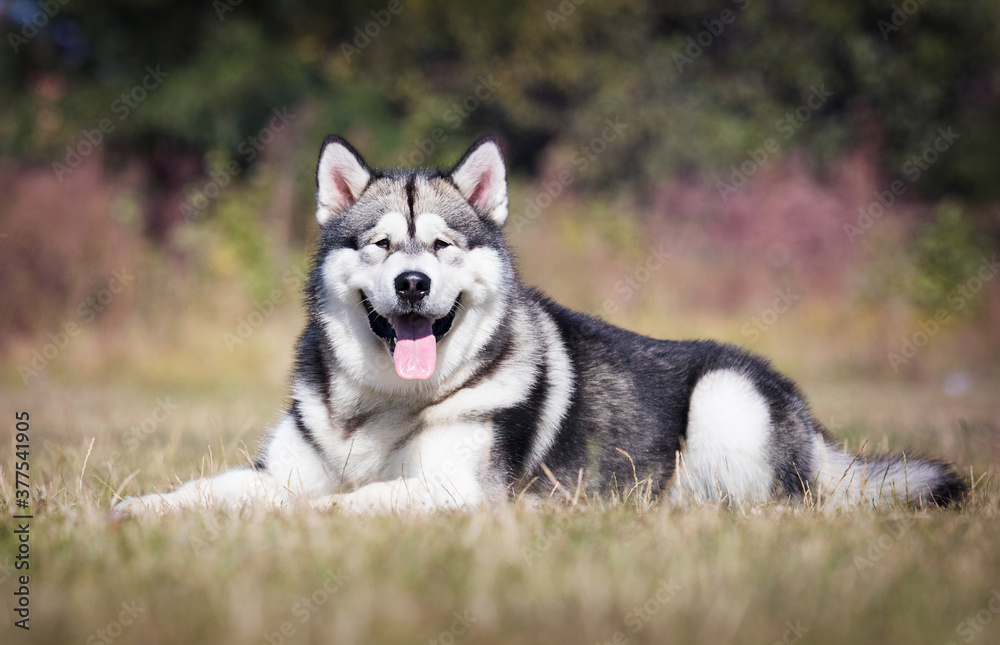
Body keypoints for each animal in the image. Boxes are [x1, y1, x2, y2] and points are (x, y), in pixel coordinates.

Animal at [111, 133, 968, 516]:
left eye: (443, 246)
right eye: (381, 244)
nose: (413, 282)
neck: (383, 405)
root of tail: (817, 431)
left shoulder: (454, 488)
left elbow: (338, 504)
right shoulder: (282, 469)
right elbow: (204, 490)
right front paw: (133, 513)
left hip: (727, 398)